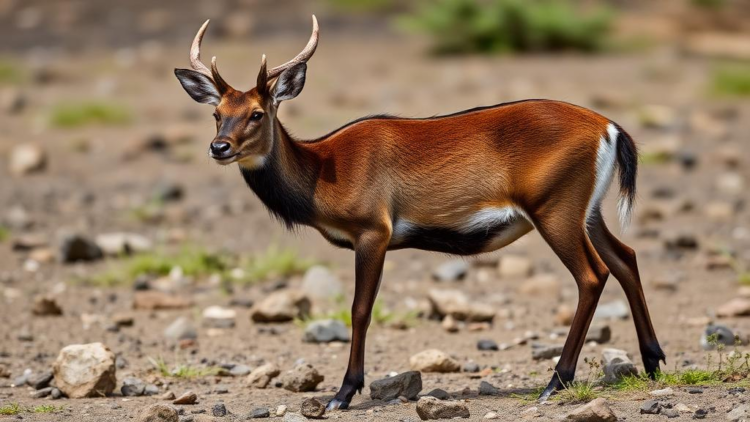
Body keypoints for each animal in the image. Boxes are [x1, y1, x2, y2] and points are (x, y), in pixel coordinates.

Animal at [174, 16, 665, 411]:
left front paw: (343, 393)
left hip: (555, 209)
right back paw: (654, 362)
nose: (219, 147)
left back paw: (555, 383)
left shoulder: (374, 229)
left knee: (593, 274)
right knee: (626, 257)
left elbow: (359, 309)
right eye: (217, 112)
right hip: (588, 212)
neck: (323, 173)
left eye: (257, 113)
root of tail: (612, 129)